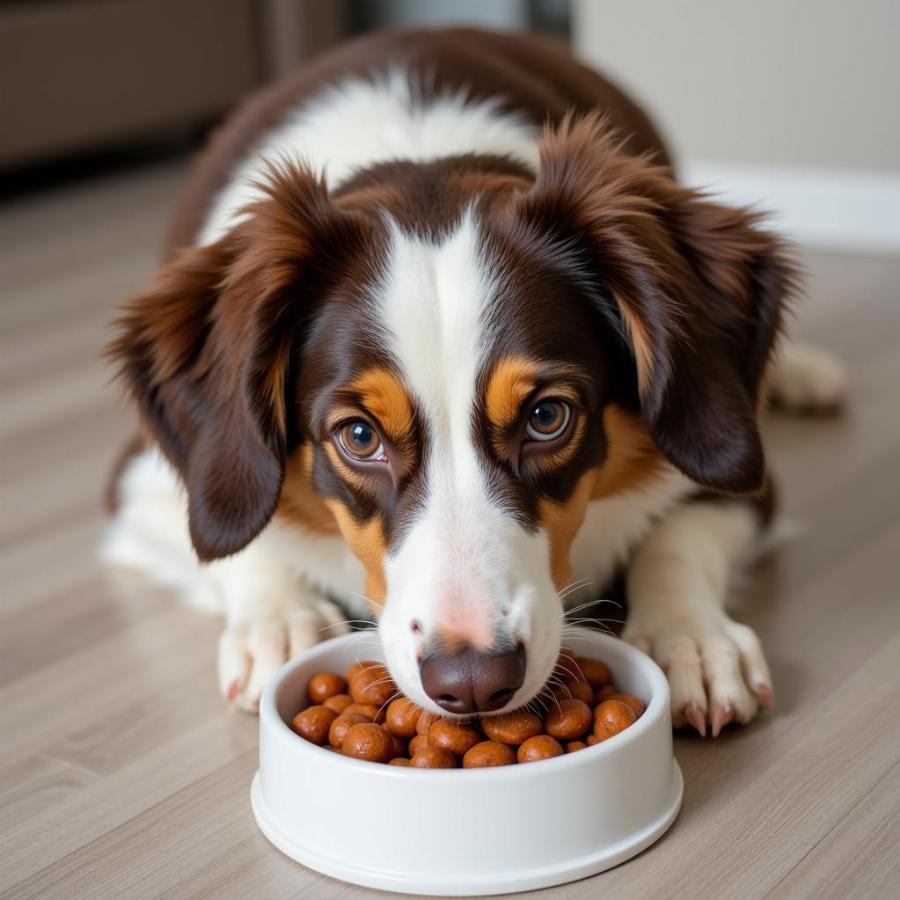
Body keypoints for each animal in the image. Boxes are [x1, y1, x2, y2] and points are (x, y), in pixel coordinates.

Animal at [102, 28, 848, 736]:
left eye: (548, 417)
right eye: (358, 436)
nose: (472, 681)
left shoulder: (731, 458)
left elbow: (677, 538)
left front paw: (689, 638)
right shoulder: (146, 480)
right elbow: (229, 543)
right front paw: (281, 624)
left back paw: (805, 373)